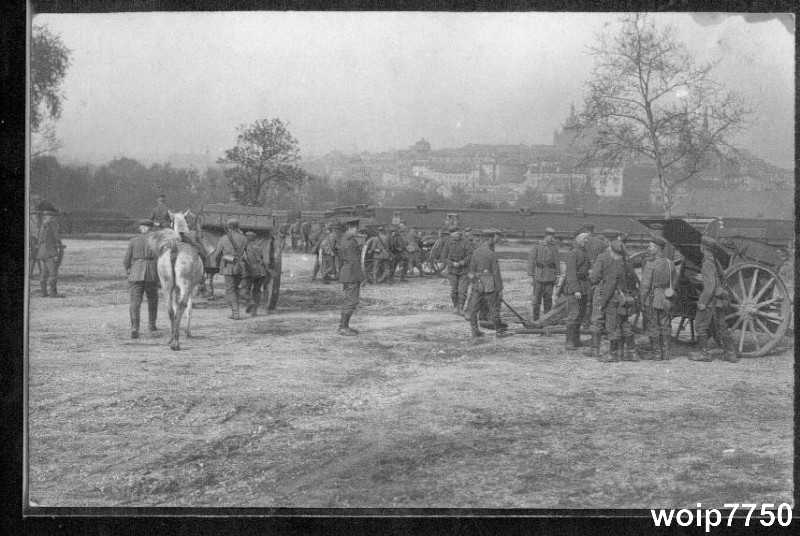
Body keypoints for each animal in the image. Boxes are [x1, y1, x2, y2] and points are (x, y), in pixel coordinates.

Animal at [148, 209, 205, 352]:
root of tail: (175, 249)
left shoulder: (175, 289)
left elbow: (174, 308)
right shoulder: (192, 289)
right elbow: (189, 309)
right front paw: (188, 332)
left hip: (167, 286)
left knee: (170, 310)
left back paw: (171, 338)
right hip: (185, 285)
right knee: (182, 306)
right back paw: (176, 342)